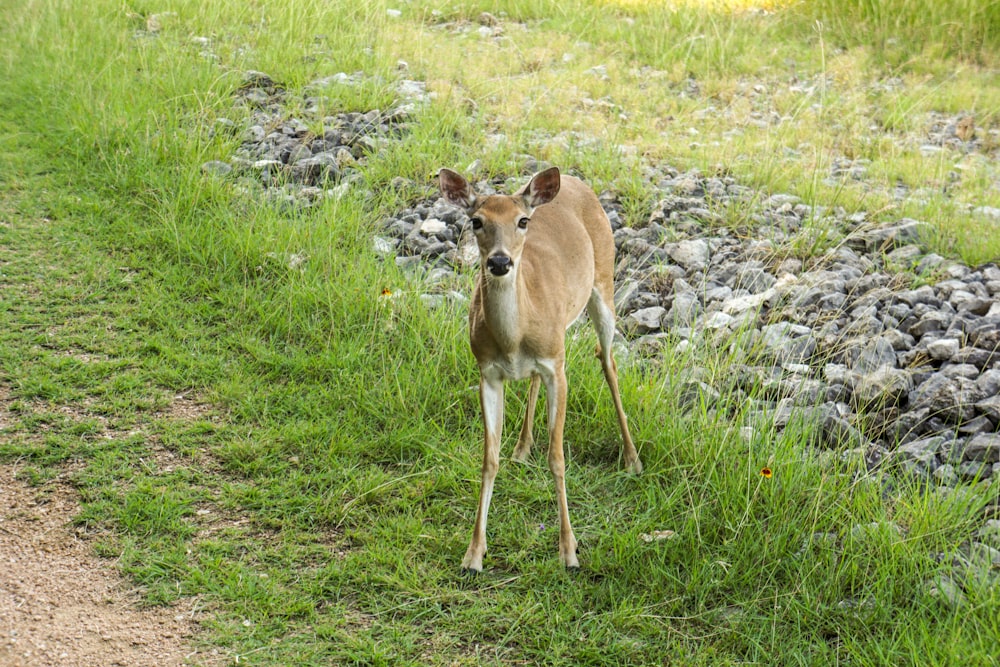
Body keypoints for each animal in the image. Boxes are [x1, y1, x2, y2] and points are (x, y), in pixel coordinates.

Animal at [436, 167, 640, 576]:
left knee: (607, 358)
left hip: (604, 280)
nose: (500, 262)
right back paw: (522, 447)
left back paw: (631, 458)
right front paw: (473, 554)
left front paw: (569, 551)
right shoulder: (487, 373)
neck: (513, 338)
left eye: (522, 221)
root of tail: (575, 180)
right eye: (476, 221)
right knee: (534, 379)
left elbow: (557, 458)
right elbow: (489, 459)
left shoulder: (557, 368)